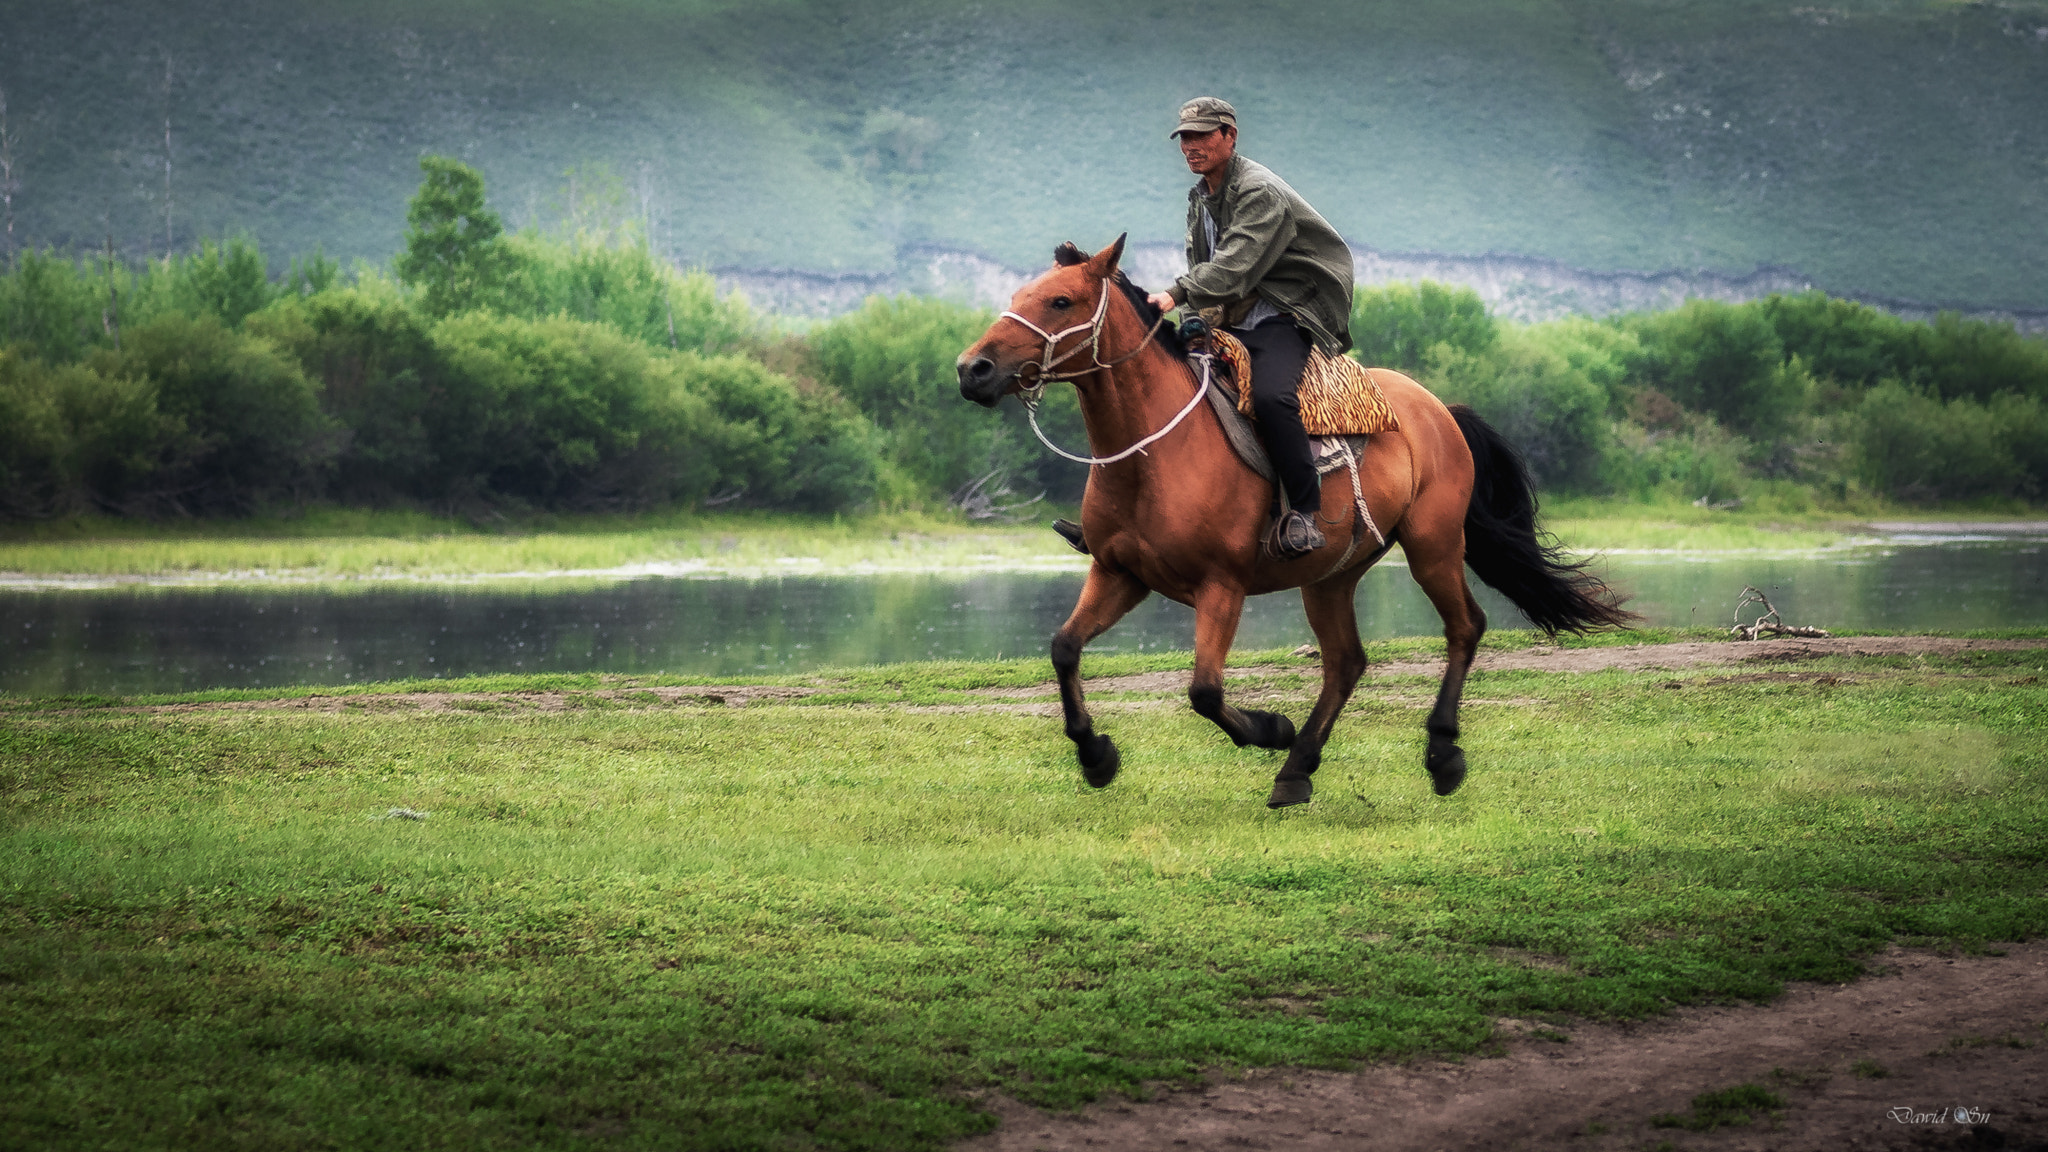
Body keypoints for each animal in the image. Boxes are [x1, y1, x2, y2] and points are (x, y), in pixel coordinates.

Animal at [950, 236, 1622, 803]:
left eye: (1061, 300)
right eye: (1020, 295)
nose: (972, 369)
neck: (1152, 451)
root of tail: (1437, 408)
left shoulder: (1221, 586)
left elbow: (1204, 690)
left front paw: (1270, 727)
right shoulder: (1120, 575)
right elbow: (1064, 649)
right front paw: (1096, 757)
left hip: (1432, 547)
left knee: (1465, 627)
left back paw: (1440, 755)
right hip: (1330, 576)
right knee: (1346, 662)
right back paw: (1297, 771)